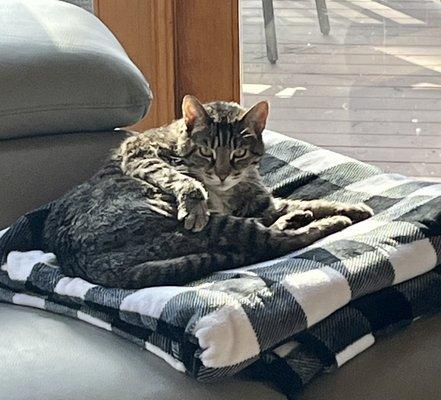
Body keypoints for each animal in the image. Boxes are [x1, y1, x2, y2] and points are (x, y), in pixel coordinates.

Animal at [40, 94, 372, 288]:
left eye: (239, 153)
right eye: (206, 151)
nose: (222, 174)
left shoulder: (263, 204)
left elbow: (312, 201)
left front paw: (353, 207)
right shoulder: (141, 154)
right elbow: (181, 179)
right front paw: (194, 199)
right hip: (200, 223)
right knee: (272, 242)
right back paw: (321, 224)